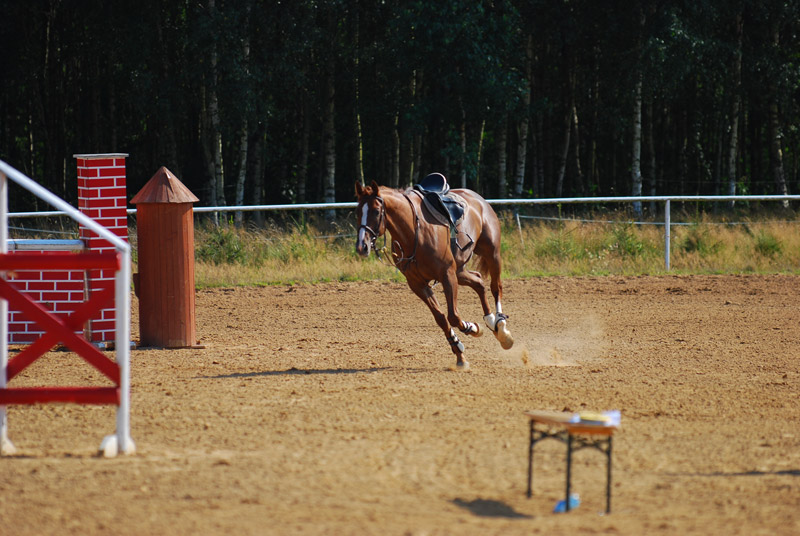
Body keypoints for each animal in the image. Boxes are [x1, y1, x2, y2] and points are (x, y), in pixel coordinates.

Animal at [354, 178, 512, 370]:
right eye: (357, 211)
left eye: (376, 211)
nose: (362, 246)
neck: (413, 232)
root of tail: (478, 199)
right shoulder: (417, 284)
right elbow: (441, 318)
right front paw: (460, 352)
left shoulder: (447, 275)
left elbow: (453, 316)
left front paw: (471, 328)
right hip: (460, 270)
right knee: (479, 282)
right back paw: (490, 321)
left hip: (491, 254)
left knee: (495, 287)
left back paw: (502, 329)